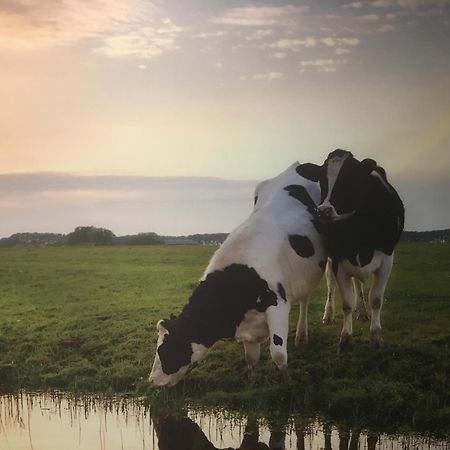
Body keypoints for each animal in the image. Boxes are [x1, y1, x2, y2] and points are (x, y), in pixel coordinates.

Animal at [149, 162, 326, 386]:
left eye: (165, 349)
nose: (151, 380)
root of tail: (297, 165)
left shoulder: (277, 305)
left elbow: (278, 353)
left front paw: (289, 383)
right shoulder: (249, 329)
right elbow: (251, 358)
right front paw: (253, 381)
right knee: (305, 297)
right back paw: (302, 335)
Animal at [298, 149, 404, 350]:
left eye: (350, 178)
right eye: (321, 179)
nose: (323, 211)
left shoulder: (387, 258)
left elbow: (376, 299)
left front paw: (376, 336)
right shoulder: (338, 258)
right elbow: (346, 302)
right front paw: (346, 337)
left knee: (358, 284)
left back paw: (361, 312)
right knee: (331, 284)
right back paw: (328, 315)